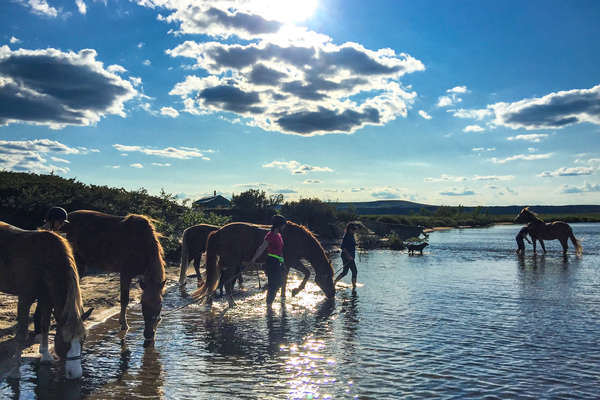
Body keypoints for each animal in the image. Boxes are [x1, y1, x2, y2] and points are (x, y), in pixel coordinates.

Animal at [0, 222, 91, 382]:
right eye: (65, 342)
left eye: (83, 339)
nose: (75, 374)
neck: (44, 260)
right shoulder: (24, 299)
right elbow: (21, 336)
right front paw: (15, 372)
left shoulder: (47, 298)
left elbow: (45, 324)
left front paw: (45, 355)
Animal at [60, 209, 166, 346]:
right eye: (143, 304)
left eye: (160, 304)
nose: (149, 335)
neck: (142, 245)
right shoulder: (125, 274)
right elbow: (125, 299)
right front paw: (124, 324)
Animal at [196, 222, 338, 306]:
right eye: (327, 277)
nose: (332, 294)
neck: (300, 240)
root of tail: (218, 232)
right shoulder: (293, 261)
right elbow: (307, 273)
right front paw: (296, 291)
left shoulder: (287, 264)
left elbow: (284, 281)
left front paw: (284, 296)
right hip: (232, 264)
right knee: (225, 283)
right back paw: (231, 303)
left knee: (217, 282)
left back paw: (211, 300)